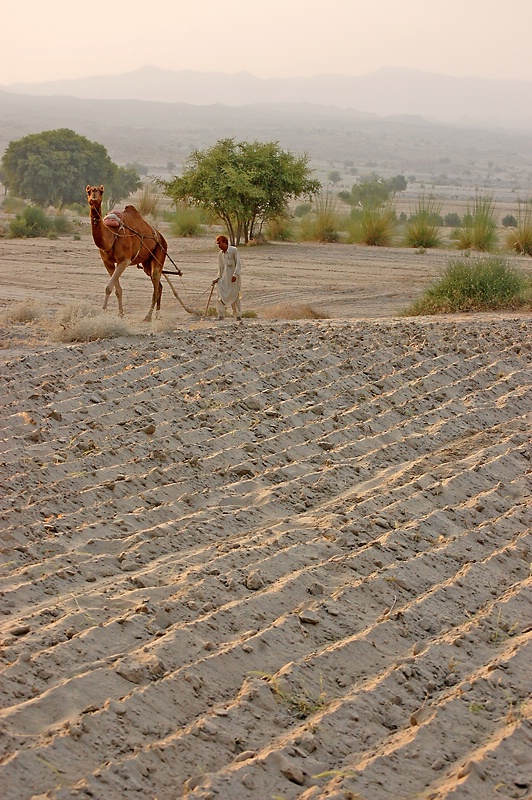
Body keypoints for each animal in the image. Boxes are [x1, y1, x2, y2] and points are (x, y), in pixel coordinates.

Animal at [85, 185, 172, 322]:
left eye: (101, 191)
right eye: (88, 191)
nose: (94, 194)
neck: (112, 235)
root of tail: (161, 237)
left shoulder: (124, 260)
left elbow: (109, 287)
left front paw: (103, 312)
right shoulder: (108, 263)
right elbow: (117, 289)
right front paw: (120, 314)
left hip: (160, 253)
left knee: (156, 288)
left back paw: (148, 317)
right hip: (147, 263)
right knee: (159, 286)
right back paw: (157, 315)